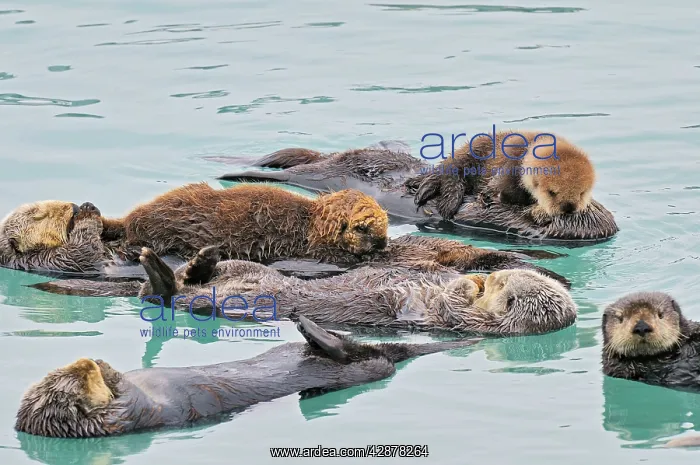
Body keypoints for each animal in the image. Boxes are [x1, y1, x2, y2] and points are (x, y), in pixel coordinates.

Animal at [15, 315, 482, 438]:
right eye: (77, 381)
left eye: (70, 372)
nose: (85, 362)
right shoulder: (128, 413)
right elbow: (127, 396)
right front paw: (109, 372)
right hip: (363, 370)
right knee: (367, 362)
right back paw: (310, 332)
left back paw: (307, 328)